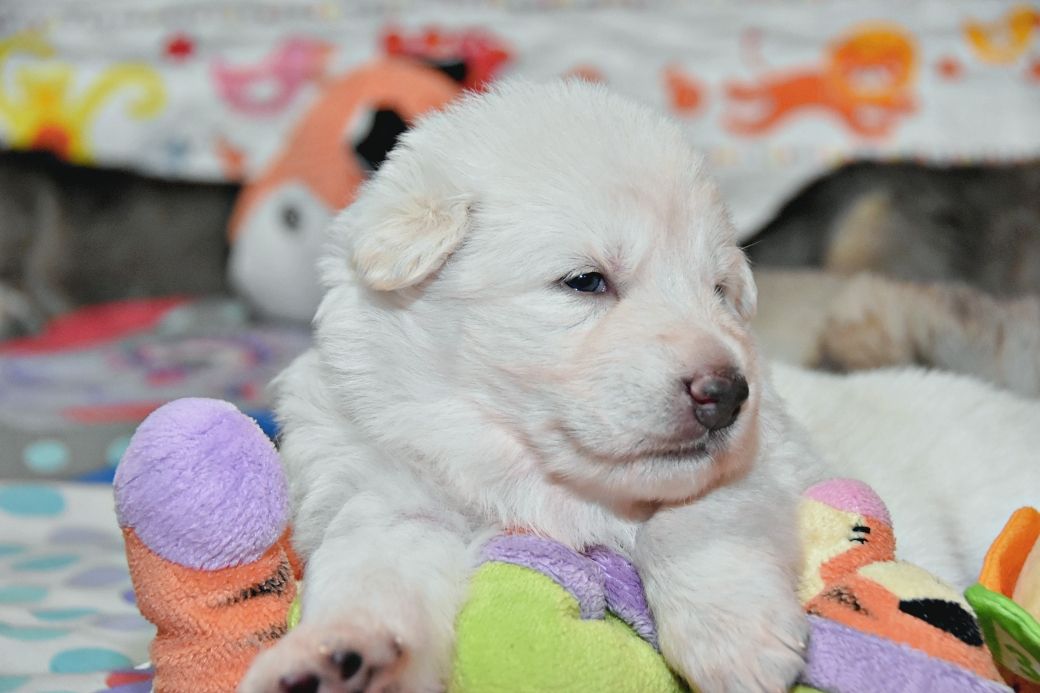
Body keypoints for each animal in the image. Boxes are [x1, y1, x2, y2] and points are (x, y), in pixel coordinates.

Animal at [241, 81, 1037, 693]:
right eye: (585, 281)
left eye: (719, 290)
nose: (727, 392)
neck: (522, 470)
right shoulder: (386, 499)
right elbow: (369, 579)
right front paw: (338, 657)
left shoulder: (769, 463)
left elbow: (691, 518)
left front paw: (735, 642)